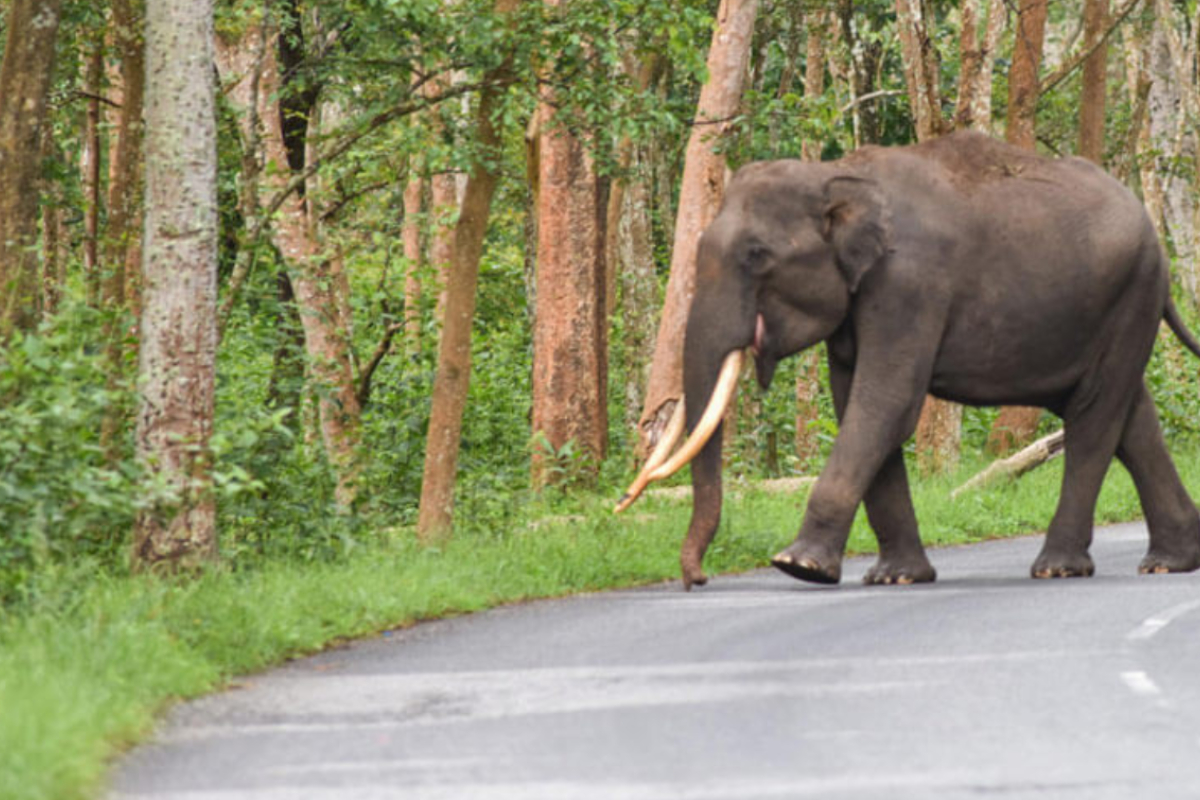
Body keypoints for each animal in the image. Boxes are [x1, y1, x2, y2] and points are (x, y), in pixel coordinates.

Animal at [616, 130, 1200, 590]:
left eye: (757, 255)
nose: (695, 579)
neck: (837, 176)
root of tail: (1153, 235)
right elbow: (855, 403)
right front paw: (894, 577)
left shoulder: (909, 284)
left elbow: (885, 404)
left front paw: (797, 565)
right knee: (1128, 414)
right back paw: (1170, 563)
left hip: (1131, 294)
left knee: (1094, 416)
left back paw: (1057, 568)